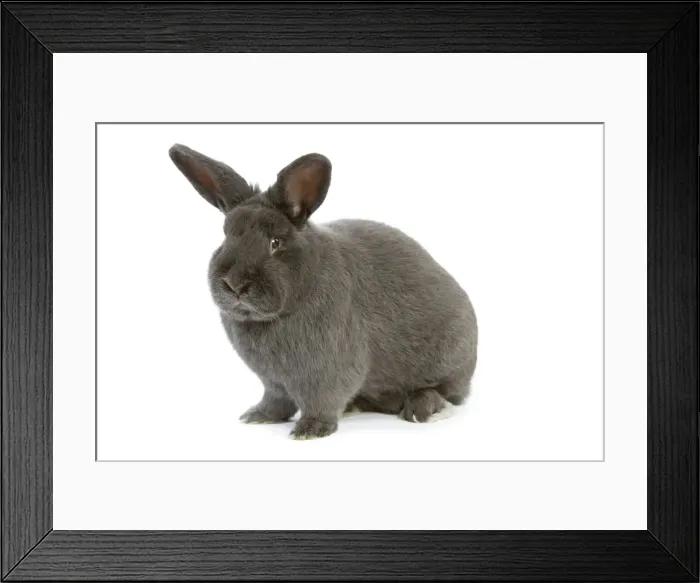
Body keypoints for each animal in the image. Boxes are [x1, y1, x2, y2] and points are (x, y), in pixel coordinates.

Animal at [168, 144, 478, 440]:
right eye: (226, 236)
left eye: (275, 242)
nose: (234, 284)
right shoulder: (273, 381)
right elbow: (276, 401)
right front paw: (258, 416)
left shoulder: (329, 371)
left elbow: (322, 401)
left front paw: (310, 430)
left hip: (449, 358)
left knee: (446, 393)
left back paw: (423, 409)